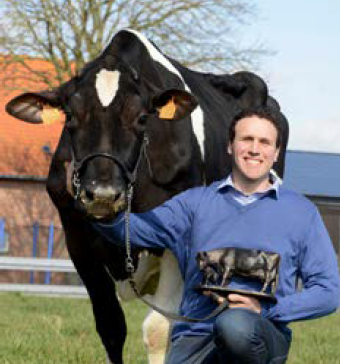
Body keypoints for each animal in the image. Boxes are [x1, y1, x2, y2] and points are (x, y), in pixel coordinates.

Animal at [5, 29, 288, 364]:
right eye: (70, 116)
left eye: (142, 118)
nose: (102, 194)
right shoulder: (78, 240)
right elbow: (111, 325)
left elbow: (159, 330)